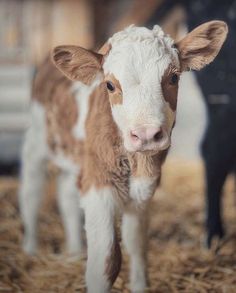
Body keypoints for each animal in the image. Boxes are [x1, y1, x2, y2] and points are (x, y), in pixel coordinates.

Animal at [19, 21, 227, 292]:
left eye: (173, 77)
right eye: (109, 85)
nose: (146, 134)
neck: (135, 163)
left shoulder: (142, 191)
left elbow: (137, 245)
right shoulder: (99, 187)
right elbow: (107, 262)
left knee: (66, 196)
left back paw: (74, 252)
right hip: (37, 140)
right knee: (31, 192)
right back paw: (30, 250)